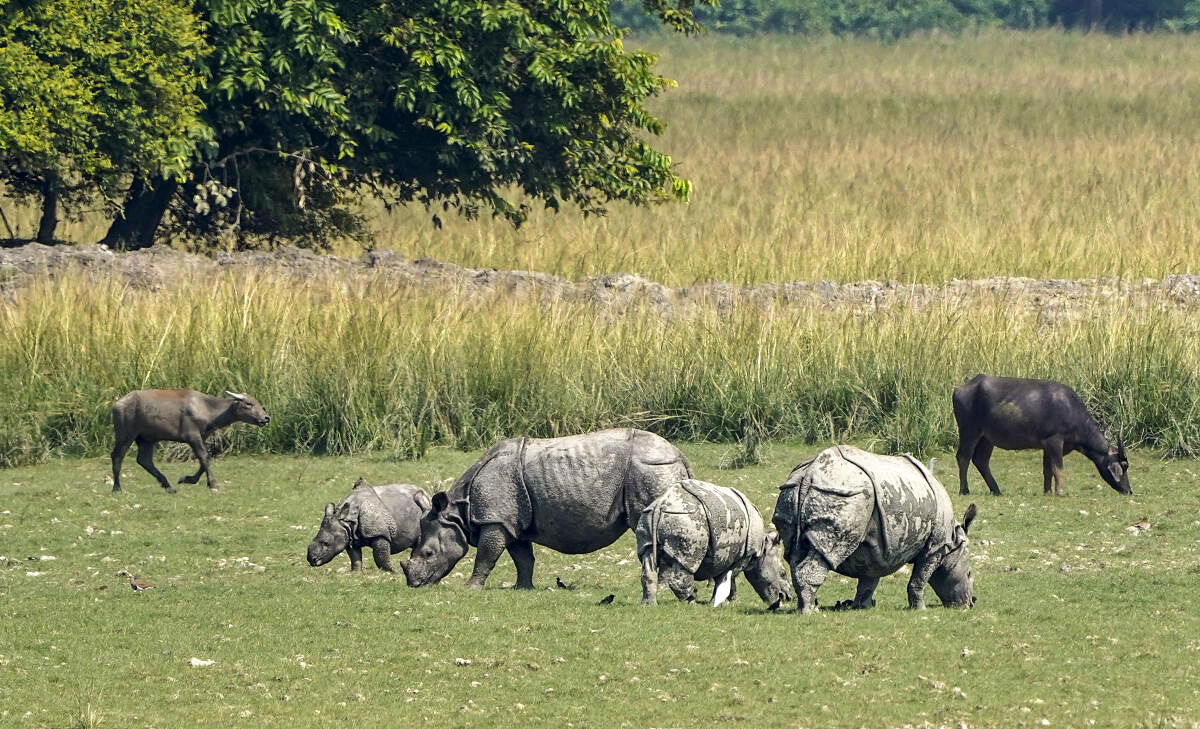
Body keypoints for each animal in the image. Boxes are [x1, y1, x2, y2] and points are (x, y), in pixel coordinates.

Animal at [304, 479, 432, 575]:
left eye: (326, 543)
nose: (312, 560)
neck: (347, 520)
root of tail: (427, 494)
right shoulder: (349, 534)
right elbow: (355, 557)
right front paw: (355, 573)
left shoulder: (379, 533)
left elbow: (380, 556)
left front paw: (393, 571)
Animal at [400, 429, 691, 589]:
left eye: (428, 553)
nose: (414, 584)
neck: (457, 512)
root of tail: (678, 453)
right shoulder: (511, 522)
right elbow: (523, 558)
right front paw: (522, 588)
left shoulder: (494, 520)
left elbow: (486, 555)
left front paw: (470, 588)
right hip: (657, 469)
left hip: (651, 468)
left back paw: (663, 585)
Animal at [633, 479, 792, 609]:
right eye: (783, 573)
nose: (788, 597)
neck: (763, 549)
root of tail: (660, 504)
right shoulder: (743, 555)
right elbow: (728, 577)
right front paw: (725, 602)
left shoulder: (723, 556)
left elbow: (722, 577)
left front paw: (727, 600)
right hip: (687, 520)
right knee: (687, 562)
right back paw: (692, 601)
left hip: (649, 516)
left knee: (647, 557)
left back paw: (649, 605)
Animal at [772, 446, 979, 611]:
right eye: (969, 574)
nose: (970, 603)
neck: (952, 540)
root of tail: (810, 474)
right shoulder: (935, 547)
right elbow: (919, 579)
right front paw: (920, 609)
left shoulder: (876, 549)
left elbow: (869, 579)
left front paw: (862, 607)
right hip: (842, 495)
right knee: (828, 549)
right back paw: (809, 612)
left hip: (794, 490)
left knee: (794, 553)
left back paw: (804, 606)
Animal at [950, 376, 1128, 496]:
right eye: (1124, 466)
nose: (1129, 490)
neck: (1071, 411)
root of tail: (960, 389)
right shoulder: (1055, 441)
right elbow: (1058, 468)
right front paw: (1060, 492)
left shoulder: (1047, 446)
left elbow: (1047, 469)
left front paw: (1047, 491)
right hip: (969, 431)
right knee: (963, 457)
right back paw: (964, 490)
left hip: (987, 439)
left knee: (981, 460)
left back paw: (996, 490)